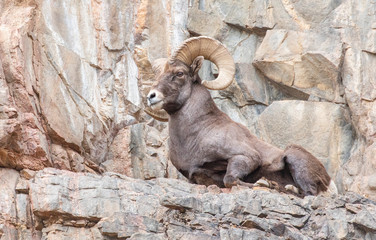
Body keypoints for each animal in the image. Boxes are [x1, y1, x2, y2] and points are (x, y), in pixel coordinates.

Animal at [145, 36, 336, 197]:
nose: (151, 96)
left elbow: (230, 180)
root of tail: (330, 183)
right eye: (157, 75)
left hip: (293, 156)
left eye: (179, 73)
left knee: (308, 193)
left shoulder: (246, 157)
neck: (194, 136)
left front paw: (265, 183)